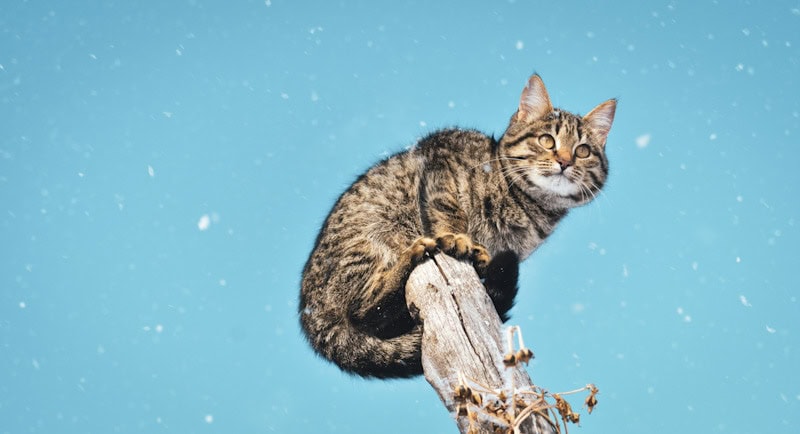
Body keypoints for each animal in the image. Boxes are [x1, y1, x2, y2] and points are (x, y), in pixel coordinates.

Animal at [296, 73, 616, 378]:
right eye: (548, 141)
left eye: (583, 151)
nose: (565, 161)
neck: (527, 207)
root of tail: (309, 315)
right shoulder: (441, 155)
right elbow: (448, 209)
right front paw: (457, 238)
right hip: (368, 243)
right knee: (365, 311)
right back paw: (411, 257)